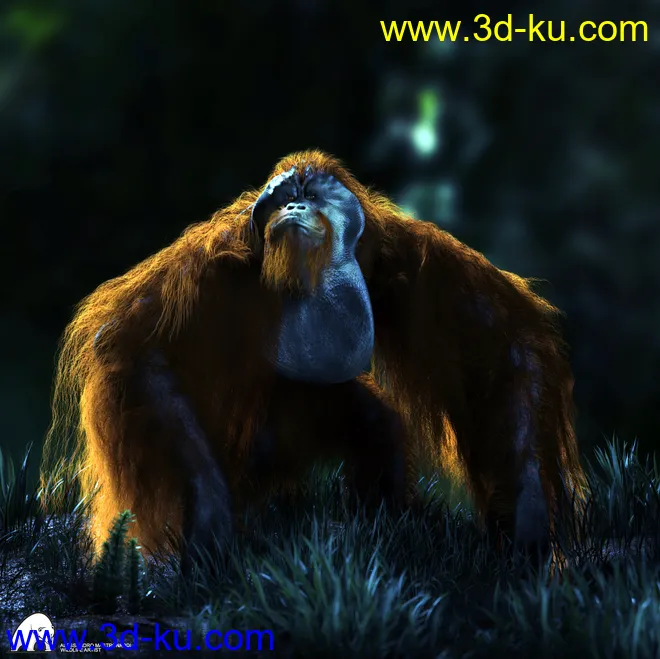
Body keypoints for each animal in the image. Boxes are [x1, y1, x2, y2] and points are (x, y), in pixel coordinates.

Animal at [41, 150, 585, 567]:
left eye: (313, 194)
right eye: (282, 197)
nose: (295, 203)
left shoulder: (408, 256)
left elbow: (503, 342)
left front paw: (526, 513)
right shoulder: (209, 260)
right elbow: (132, 341)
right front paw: (208, 511)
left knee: (369, 423)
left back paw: (387, 517)